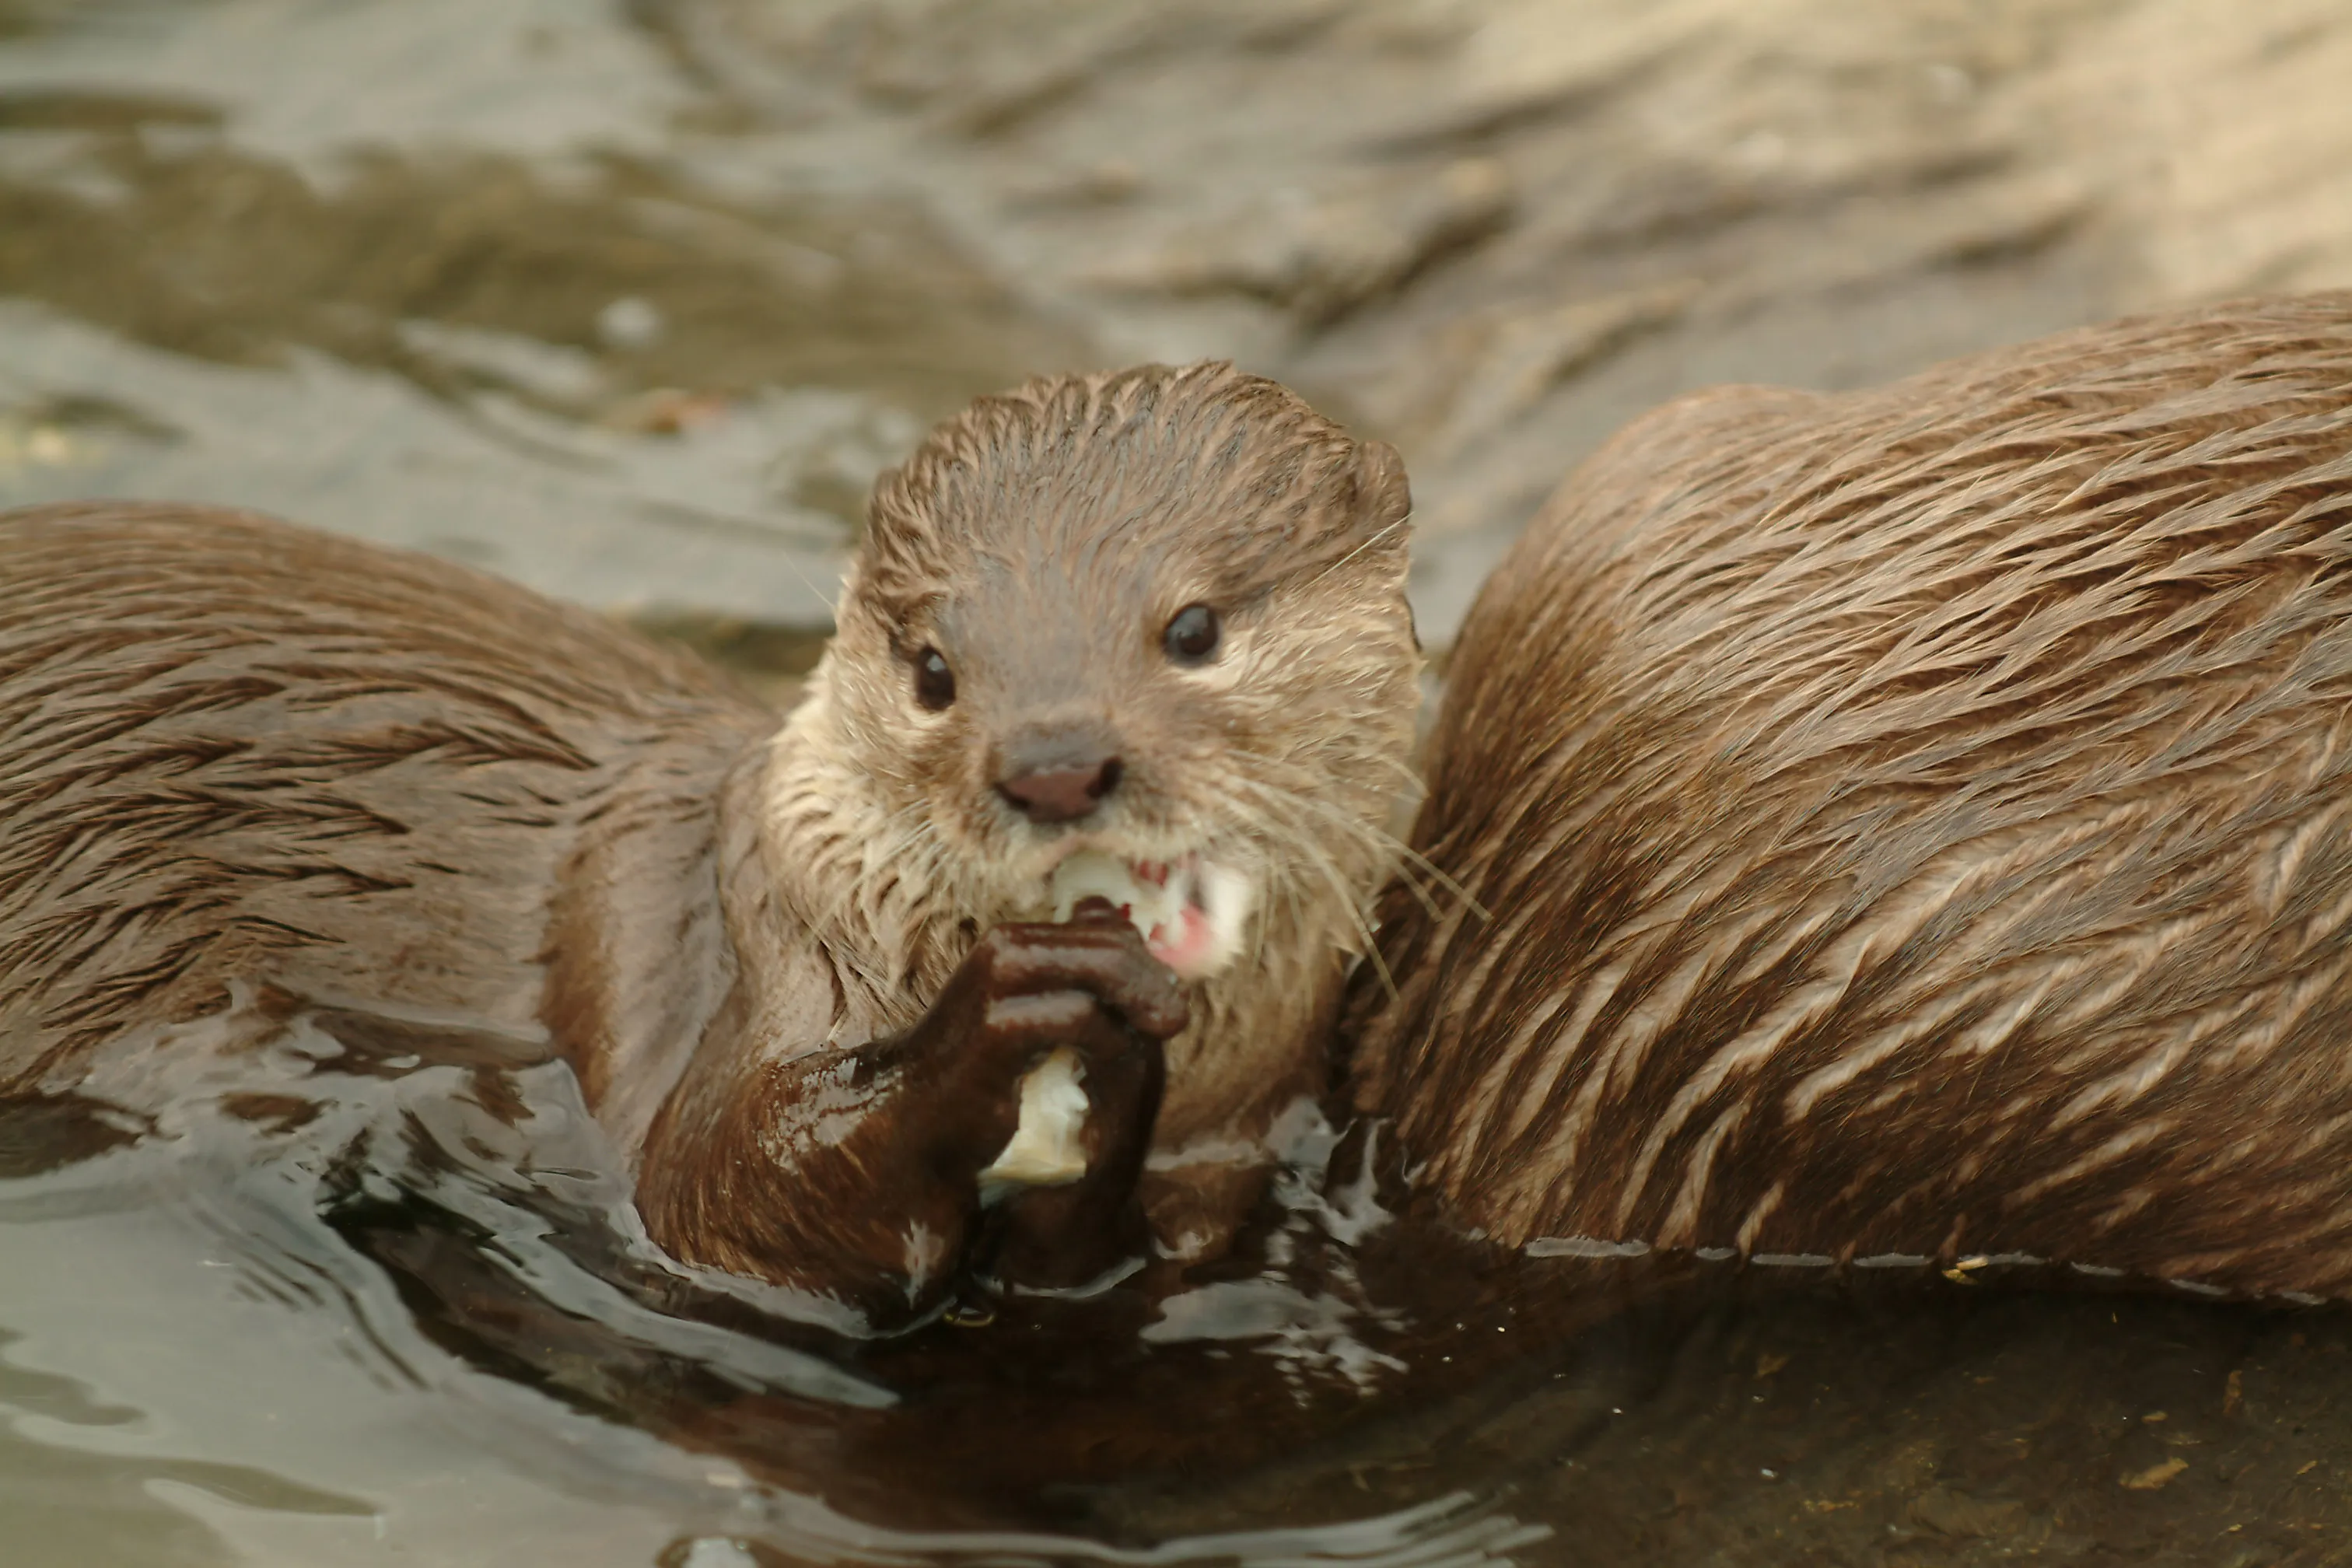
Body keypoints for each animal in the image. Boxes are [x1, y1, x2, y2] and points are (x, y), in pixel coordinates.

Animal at [0, 364, 1411, 1325]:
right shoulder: (733, 954)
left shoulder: (1224, 1156)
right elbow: (717, 1197)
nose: (1054, 762)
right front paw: (1002, 1018)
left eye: (1192, 628)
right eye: (934, 670)